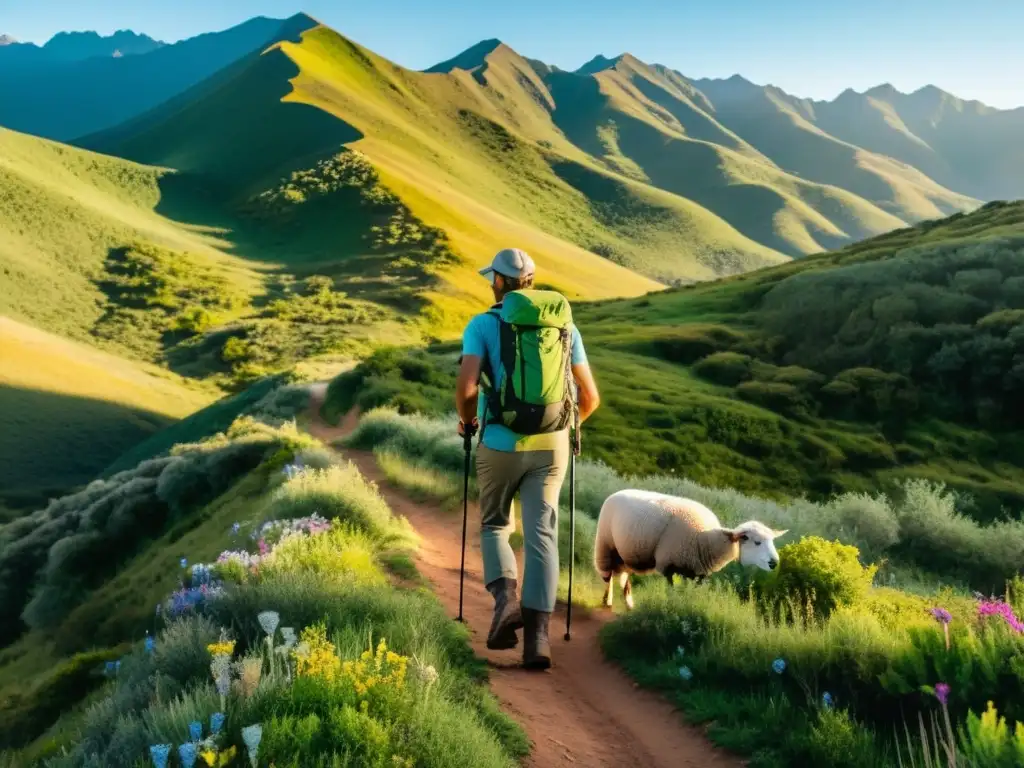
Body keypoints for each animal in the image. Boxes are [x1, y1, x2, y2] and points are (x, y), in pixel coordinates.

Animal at [589, 489, 786, 610]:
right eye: (757, 542)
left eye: (772, 541)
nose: (774, 563)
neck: (706, 540)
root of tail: (618, 492)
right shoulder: (667, 565)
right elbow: (671, 592)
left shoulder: (697, 573)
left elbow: (689, 592)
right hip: (606, 546)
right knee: (608, 576)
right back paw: (607, 601)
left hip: (627, 554)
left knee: (624, 577)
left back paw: (629, 603)